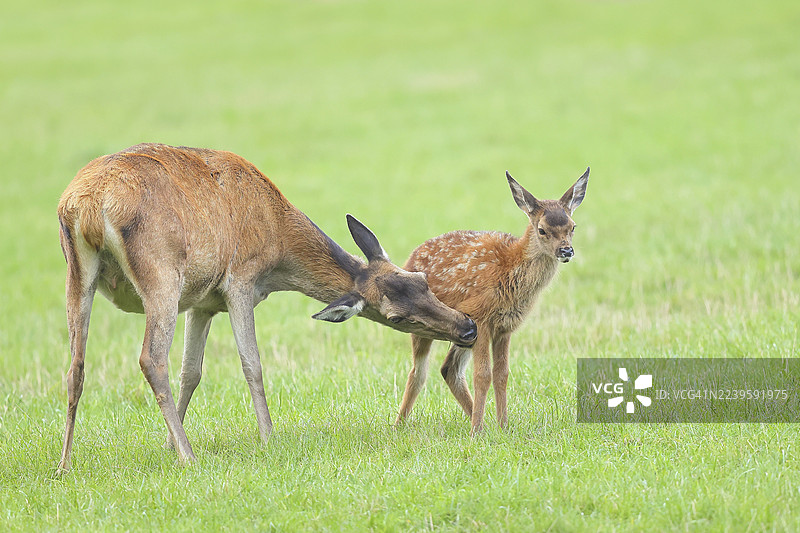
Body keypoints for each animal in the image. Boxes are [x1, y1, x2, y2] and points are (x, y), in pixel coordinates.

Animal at [56, 143, 478, 471]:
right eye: (397, 317)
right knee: (151, 358)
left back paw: (64, 463)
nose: (468, 328)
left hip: (78, 274)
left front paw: (168, 444)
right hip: (161, 276)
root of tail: (86, 204)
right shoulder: (239, 281)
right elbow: (251, 364)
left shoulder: (201, 301)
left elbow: (192, 372)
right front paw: (268, 436)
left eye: (421, 280)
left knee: (76, 366)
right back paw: (190, 458)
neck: (277, 249)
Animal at [394, 168, 589, 435]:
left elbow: (501, 374)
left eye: (572, 226)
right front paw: (476, 432)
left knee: (448, 369)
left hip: (461, 334)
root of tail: (410, 258)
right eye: (542, 229)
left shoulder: (505, 327)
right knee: (418, 372)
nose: (566, 250)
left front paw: (503, 425)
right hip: (422, 323)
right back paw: (399, 424)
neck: (509, 271)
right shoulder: (479, 315)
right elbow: (482, 375)